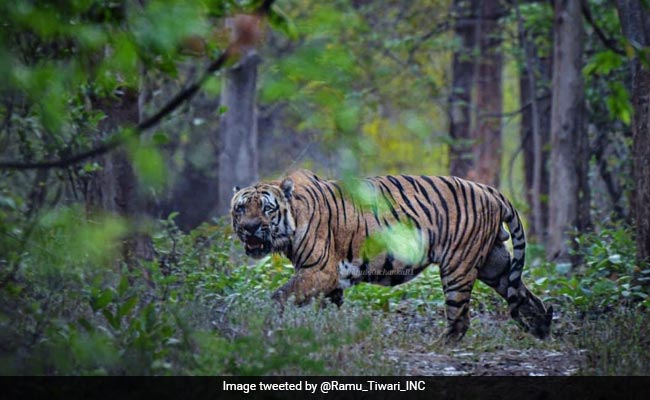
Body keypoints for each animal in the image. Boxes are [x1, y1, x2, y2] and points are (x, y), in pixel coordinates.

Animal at [231, 169, 553, 342]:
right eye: (240, 208)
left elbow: (279, 296)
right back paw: (542, 328)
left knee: (460, 318)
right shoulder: (329, 280)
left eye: (267, 209)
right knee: (525, 295)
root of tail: (490, 190)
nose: (249, 228)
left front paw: (266, 327)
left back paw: (439, 345)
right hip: (494, 264)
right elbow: (325, 309)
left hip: (458, 267)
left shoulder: (319, 271)